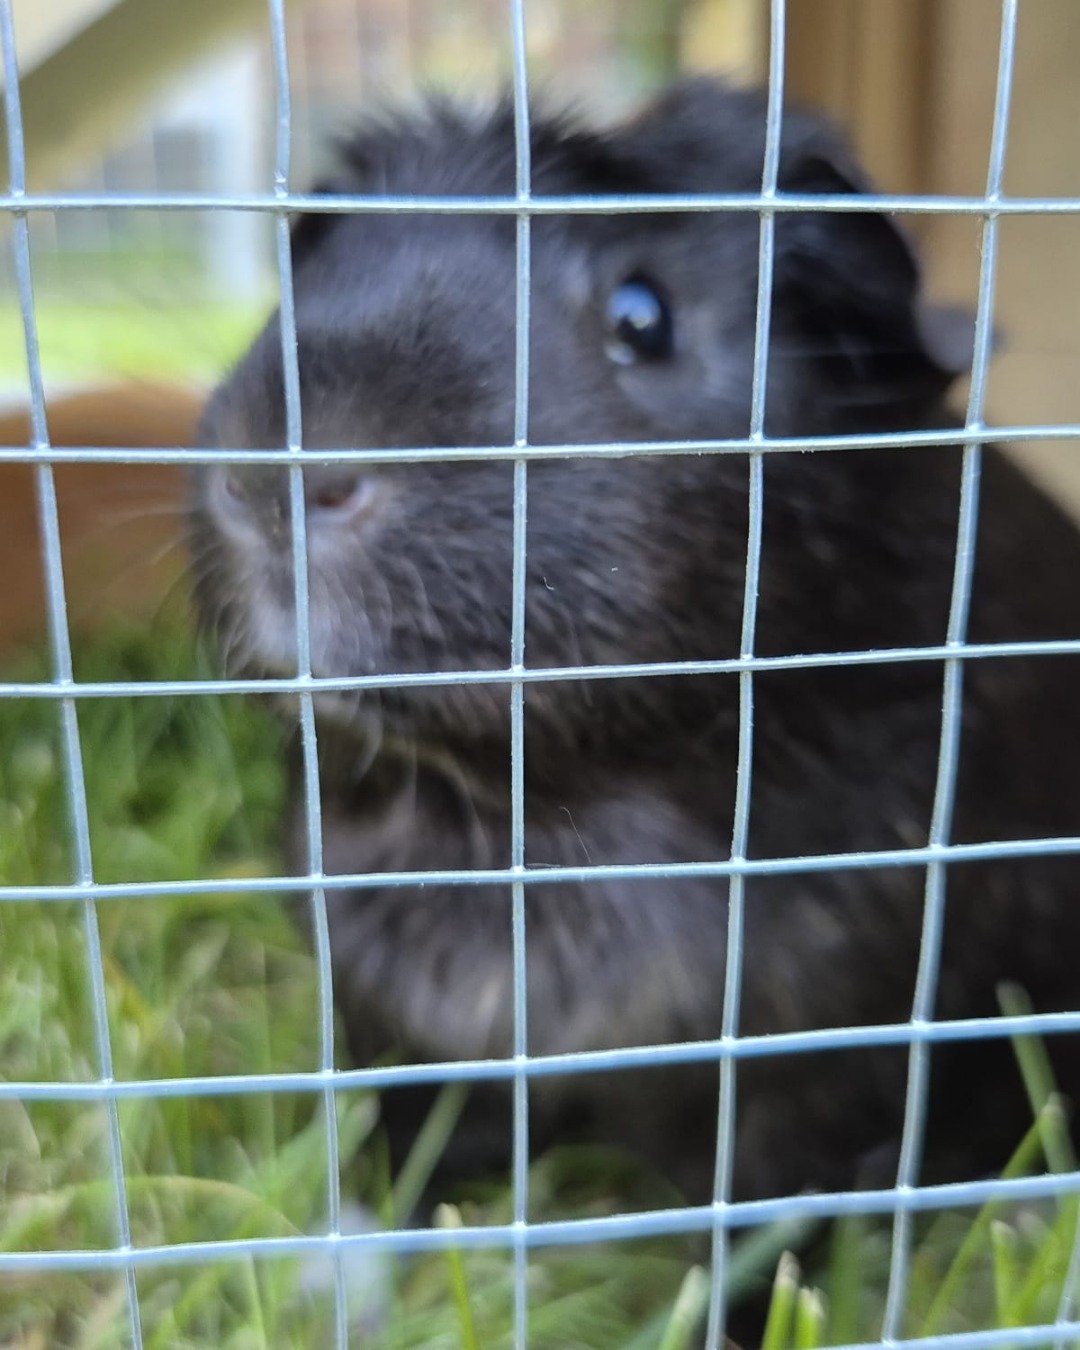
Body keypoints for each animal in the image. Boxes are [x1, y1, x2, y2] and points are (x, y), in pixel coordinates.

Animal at [189, 79, 1080, 1205]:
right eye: (315, 265)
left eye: (642, 317)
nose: (277, 480)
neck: (507, 826)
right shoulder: (391, 1032)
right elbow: (406, 1143)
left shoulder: (805, 1081)